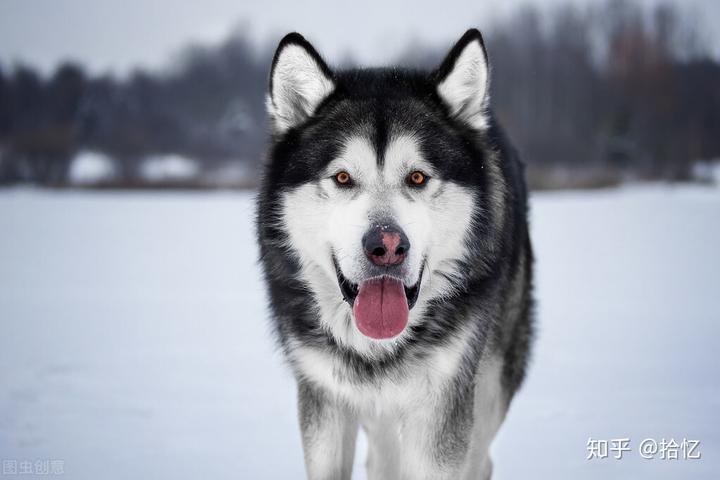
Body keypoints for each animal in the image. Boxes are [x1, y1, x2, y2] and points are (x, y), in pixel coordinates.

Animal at [256, 28, 532, 478]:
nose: (386, 246)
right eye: (343, 177)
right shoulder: (324, 395)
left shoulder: (442, 404)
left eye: (417, 177)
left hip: (488, 382)